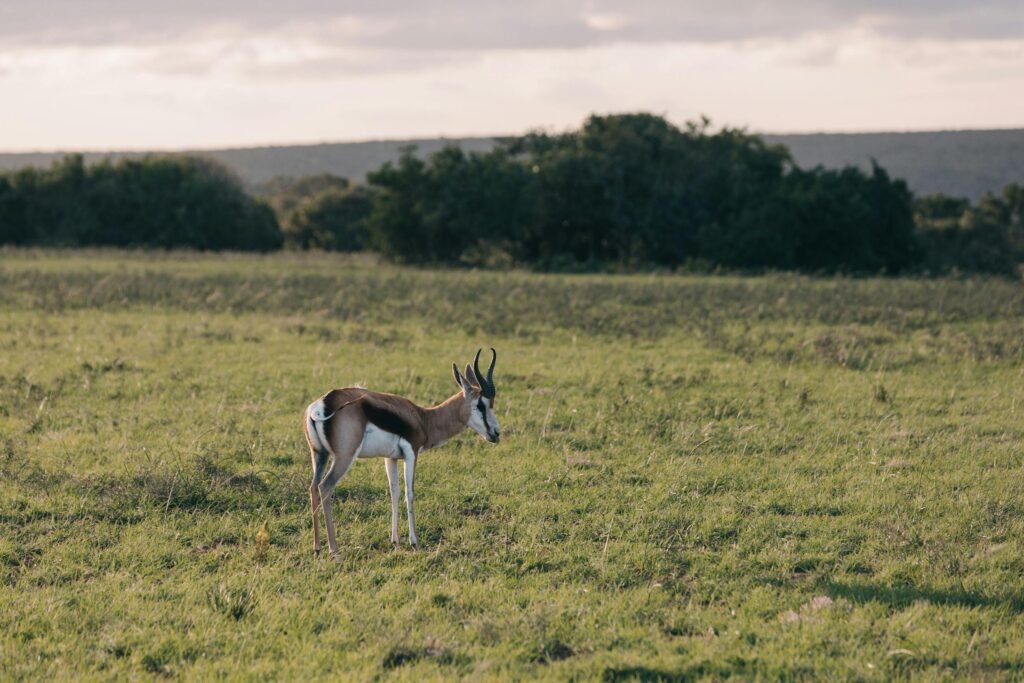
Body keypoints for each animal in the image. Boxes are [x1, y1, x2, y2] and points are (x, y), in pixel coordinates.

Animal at [304, 349, 500, 557]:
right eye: (481, 405)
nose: (496, 433)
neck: (423, 418)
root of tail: (322, 405)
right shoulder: (411, 453)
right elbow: (409, 492)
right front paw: (414, 541)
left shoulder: (390, 458)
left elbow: (394, 492)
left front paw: (395, 540)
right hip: (344, 457)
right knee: (325, 487)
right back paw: (334, 550)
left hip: (320, 455)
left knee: (313, 487)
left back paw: (317, 547)